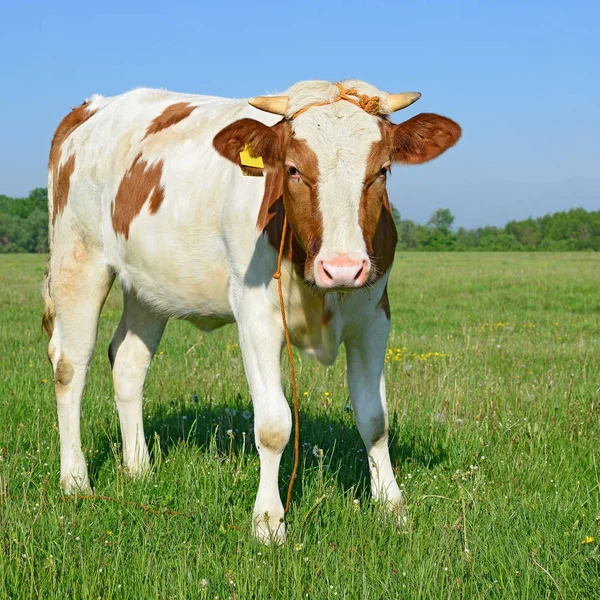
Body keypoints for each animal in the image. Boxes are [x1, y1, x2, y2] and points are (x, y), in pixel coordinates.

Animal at [42, 79, 460, 544]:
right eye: (293, 170)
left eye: (382, 170)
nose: (342, 268)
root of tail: (91, 107)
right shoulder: (256, 317)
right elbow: (274, 425)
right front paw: (269, 522)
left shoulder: (373, 317)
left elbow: (375, 418)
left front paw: (391, 507)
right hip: (78, 259)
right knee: (70, 366)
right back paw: (75, 479)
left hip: (148, 286)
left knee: (129, 363)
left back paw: (139, 469)